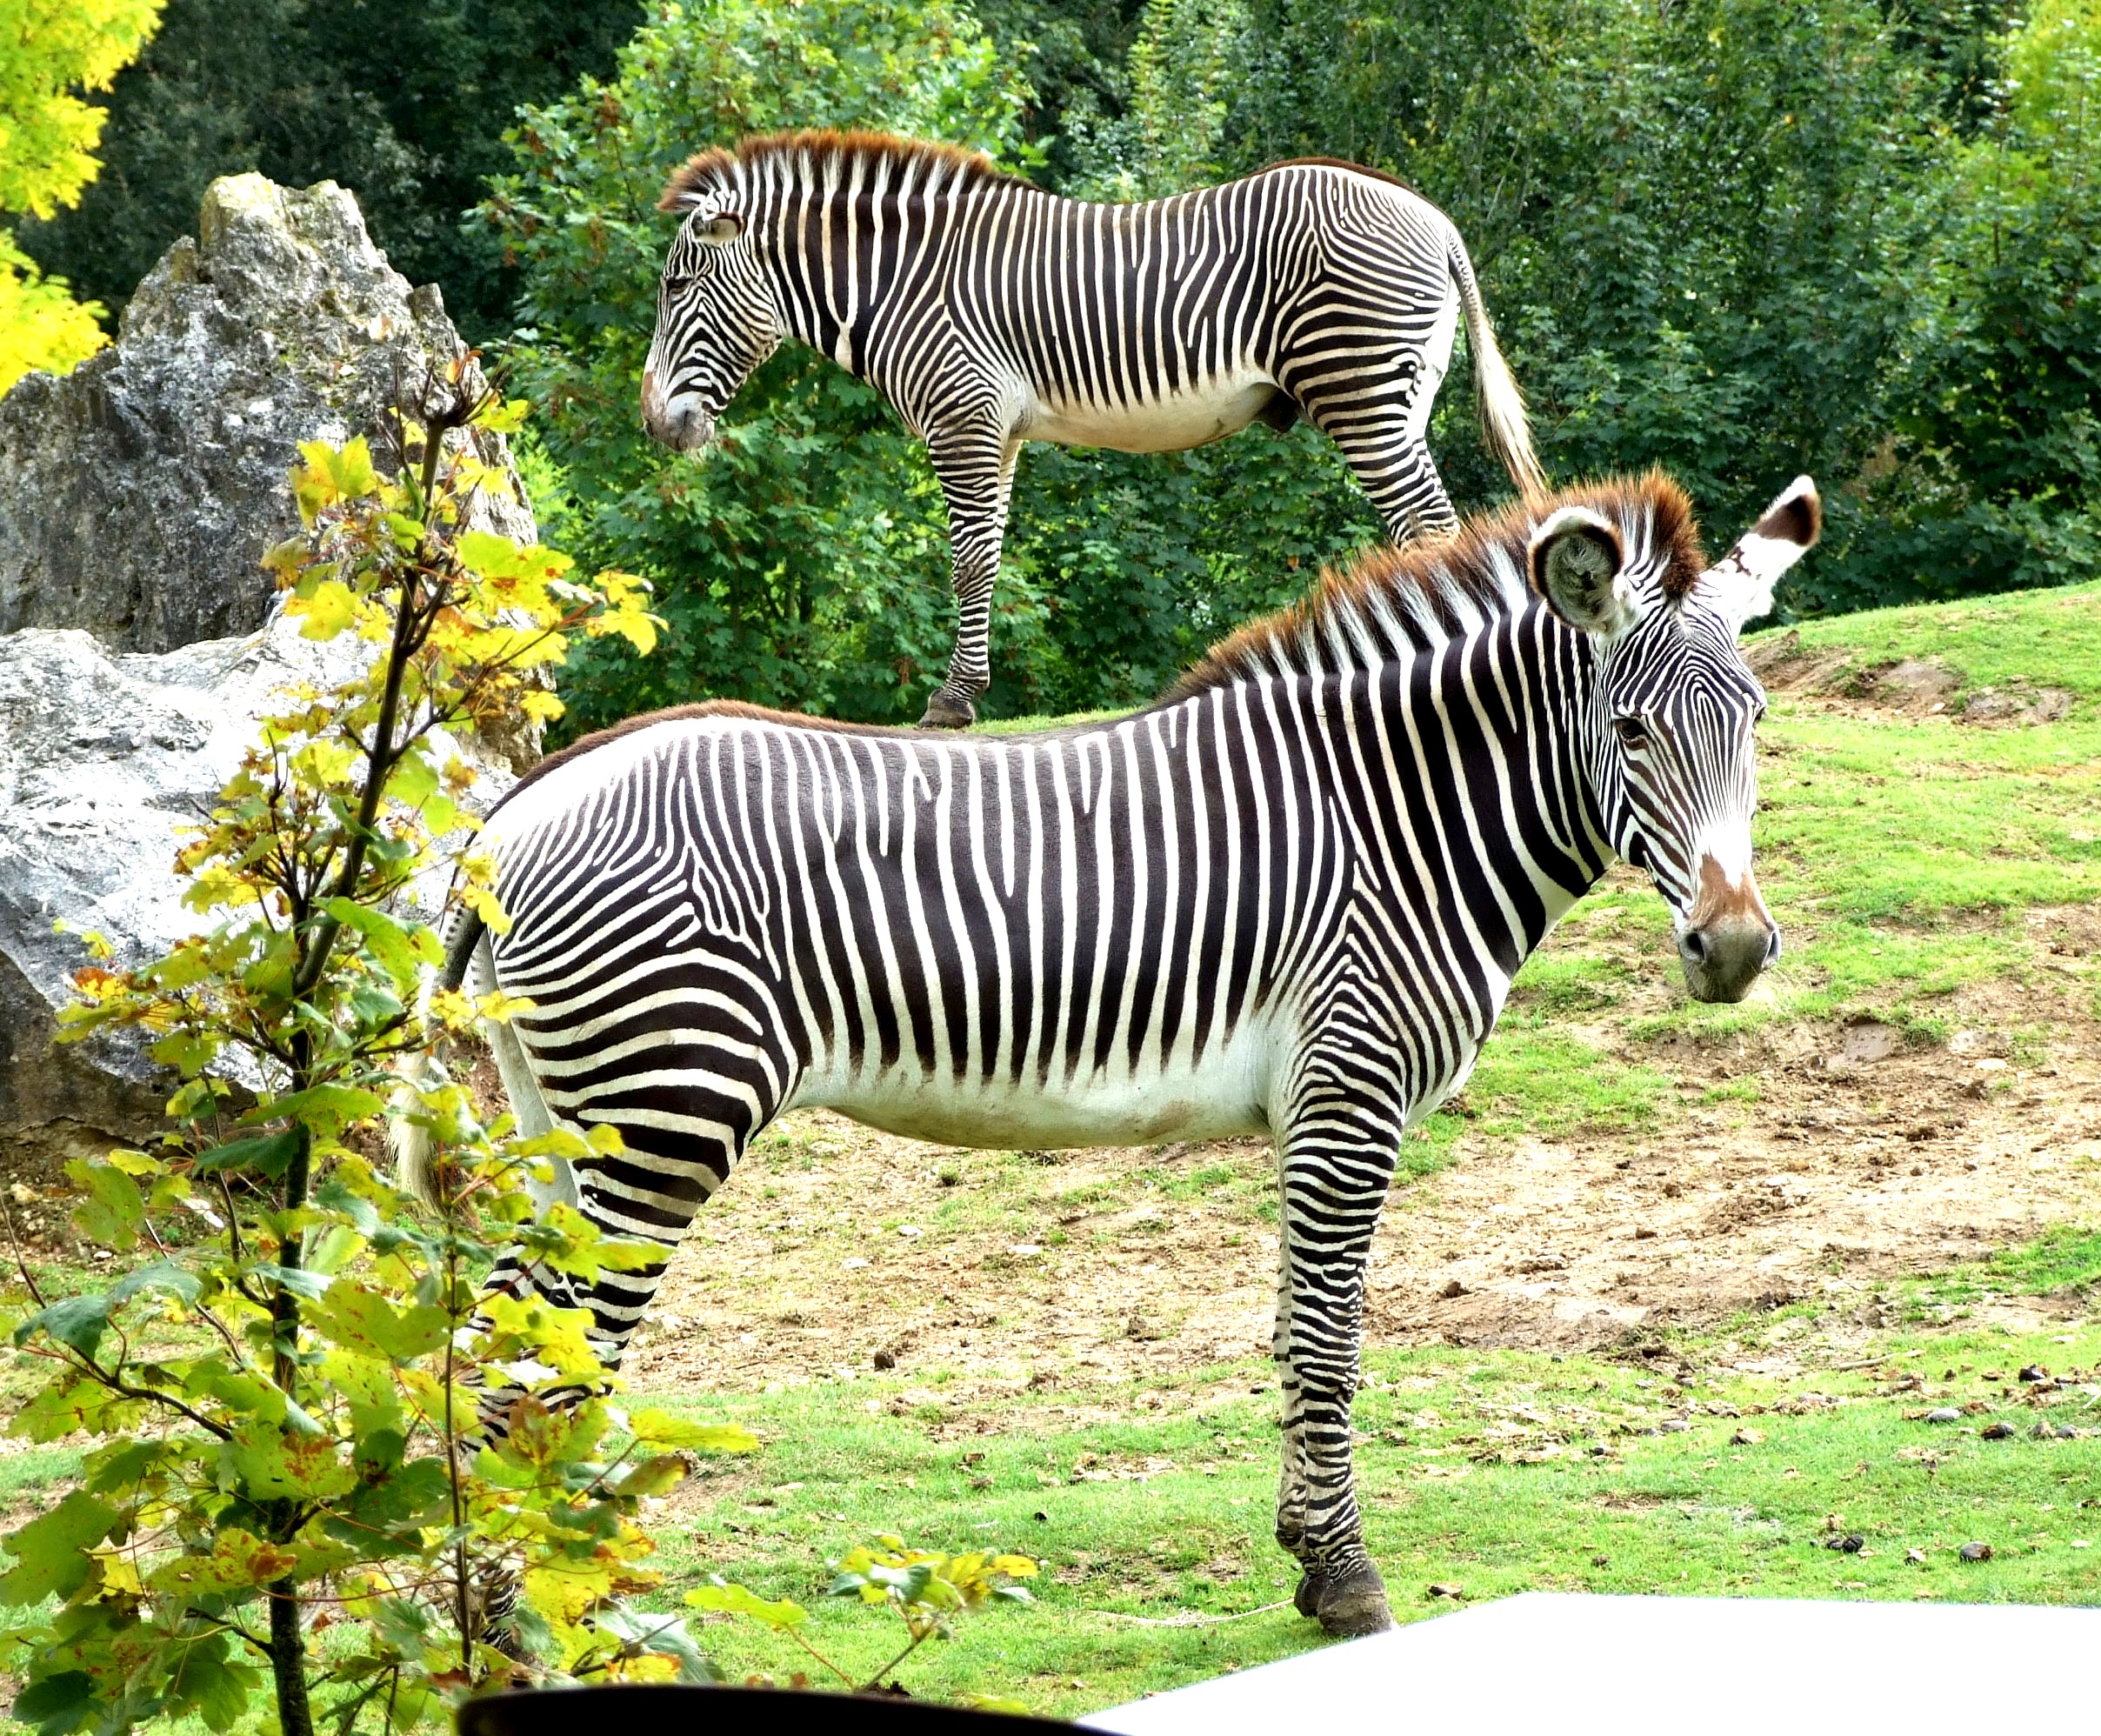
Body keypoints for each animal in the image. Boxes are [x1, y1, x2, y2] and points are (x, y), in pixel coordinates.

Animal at [401, 472, 1815, 1639]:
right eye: (1631, 731)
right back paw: (521, 1622)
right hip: (665, 1114)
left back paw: (533, 1596)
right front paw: (1346, 1581)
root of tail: (515, 807)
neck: (1400, 818)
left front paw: (1304, 1555)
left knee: (510, 1340)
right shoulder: (1349, 1084)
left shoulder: (1309, 1107)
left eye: (1752, 724)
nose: (1736, 949)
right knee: (535, 1353)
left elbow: (1295, 1331)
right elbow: (1331, 1337)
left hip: (567, 1122)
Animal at [638, 131, 1546, 727]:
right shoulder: (998, 429)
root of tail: (1436, 220)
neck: (902, 282)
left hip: (1360, 390)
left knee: (1427, 528)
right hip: (1395, 395)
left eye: (678, 286)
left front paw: (951, 702)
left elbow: (967, 561)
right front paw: (970, 689)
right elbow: (989, 556)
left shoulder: (961, 417)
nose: (655, 425)